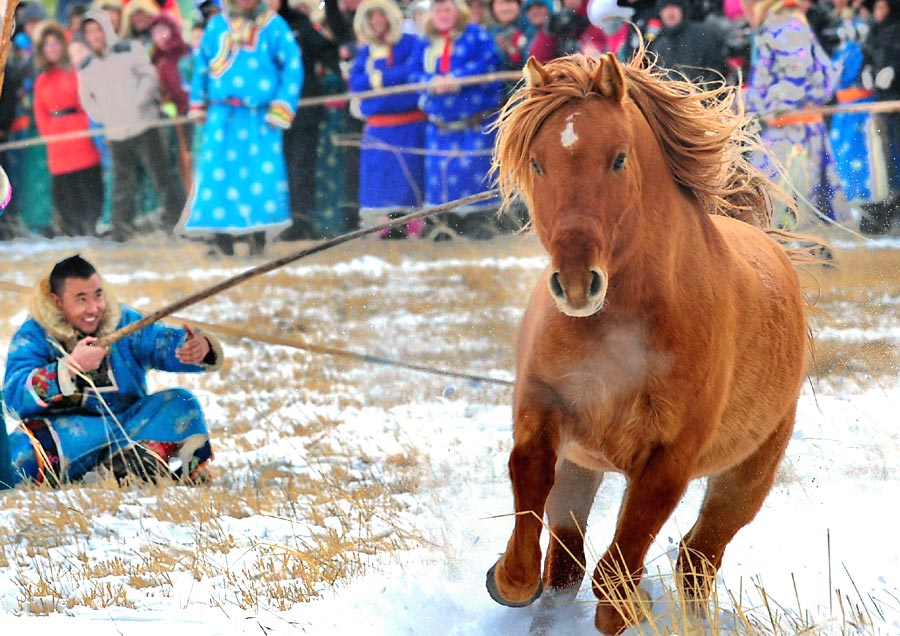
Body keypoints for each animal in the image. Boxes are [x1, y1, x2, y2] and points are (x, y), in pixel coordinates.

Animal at [486, 52, 808, 632]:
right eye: (538, 163)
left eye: (618, 159)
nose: (575, 282)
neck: (621, 328)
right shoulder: (546, 408)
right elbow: (529, 475)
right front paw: (508, 579)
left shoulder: (669, 459)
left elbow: (617, 574)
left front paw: (633, 606)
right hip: (583, 466)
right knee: (568, 559)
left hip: (747, 476)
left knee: (697, 556)